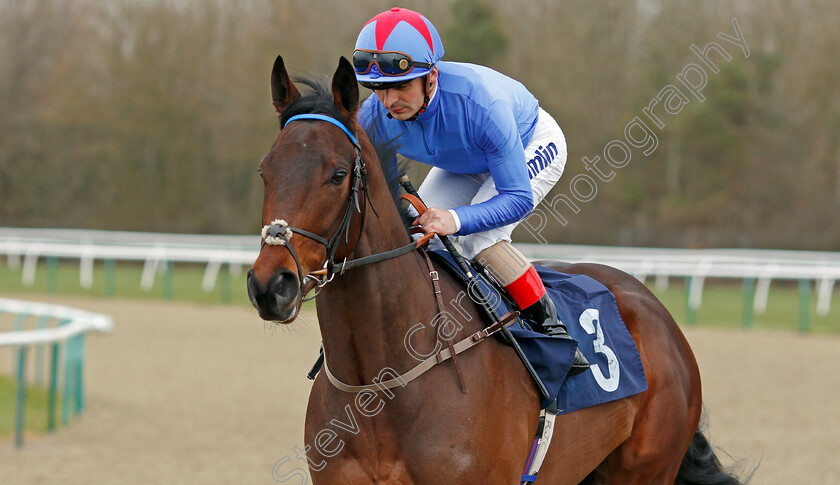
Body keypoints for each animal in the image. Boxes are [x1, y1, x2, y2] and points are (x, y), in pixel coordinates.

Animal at [244, 54, 740, 482]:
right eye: (265, 171)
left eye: (337, 174)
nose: (271, 285)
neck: (380, 382)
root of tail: (656, 310)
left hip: (646, 470)